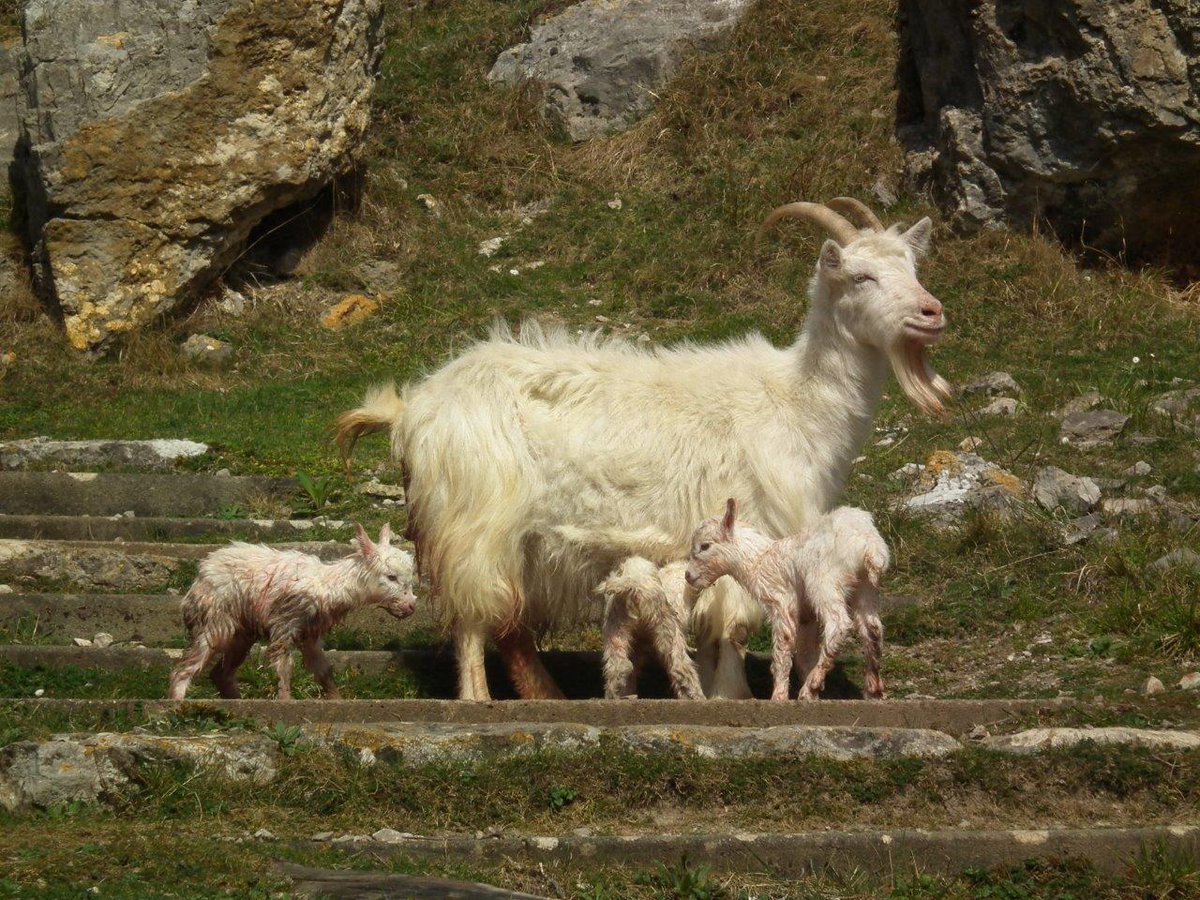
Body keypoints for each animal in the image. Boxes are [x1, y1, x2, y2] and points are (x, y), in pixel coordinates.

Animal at [167, 525, 416, 700]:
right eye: (391, 577)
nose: (411, 606)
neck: (327, 584)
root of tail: (199, 577)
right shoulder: (285, 621)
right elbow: (284, 666)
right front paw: (286, 700)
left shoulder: (310, 632)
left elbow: (323, 670)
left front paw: (336, 699)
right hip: (215, 618)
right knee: (186, 667)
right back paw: (177, 702)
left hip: (242, 631)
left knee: (221, 674)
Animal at [687, 499, 889, 701]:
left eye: (705, 546)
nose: (688, 576)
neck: (760, 560)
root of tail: (870, 545)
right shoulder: (807, 615)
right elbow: (805, 654)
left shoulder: (781, 600)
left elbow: (782, 649)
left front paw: (779, 695)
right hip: (865, 587)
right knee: (872, 629)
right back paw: (873, 690)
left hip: (825, 581)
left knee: (838, 624)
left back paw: (812, 685)